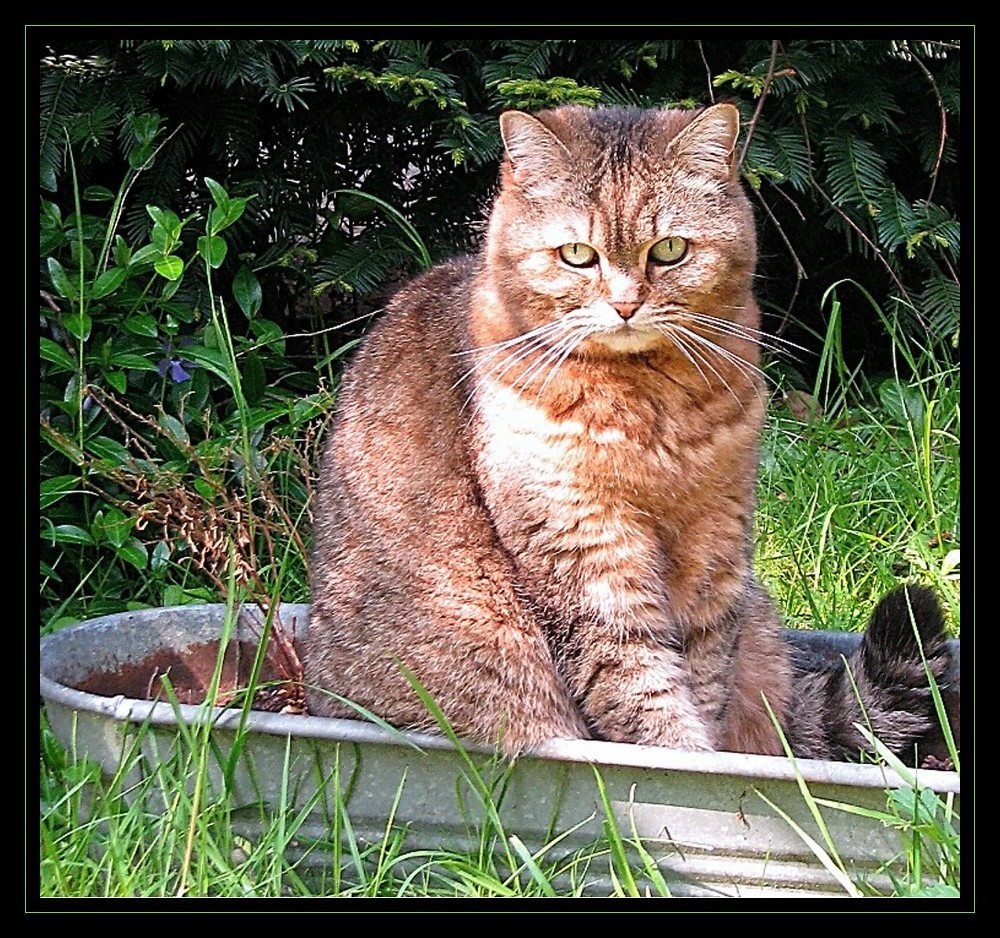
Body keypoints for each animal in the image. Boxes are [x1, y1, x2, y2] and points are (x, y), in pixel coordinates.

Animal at [300, 102, 948, 760]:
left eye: (670, 249)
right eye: (577, 254)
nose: (626, 305)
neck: (651, 411)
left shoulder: (716, 540)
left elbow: (703, 675)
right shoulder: (583, 544)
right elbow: (639, 684)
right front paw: (681, 760)